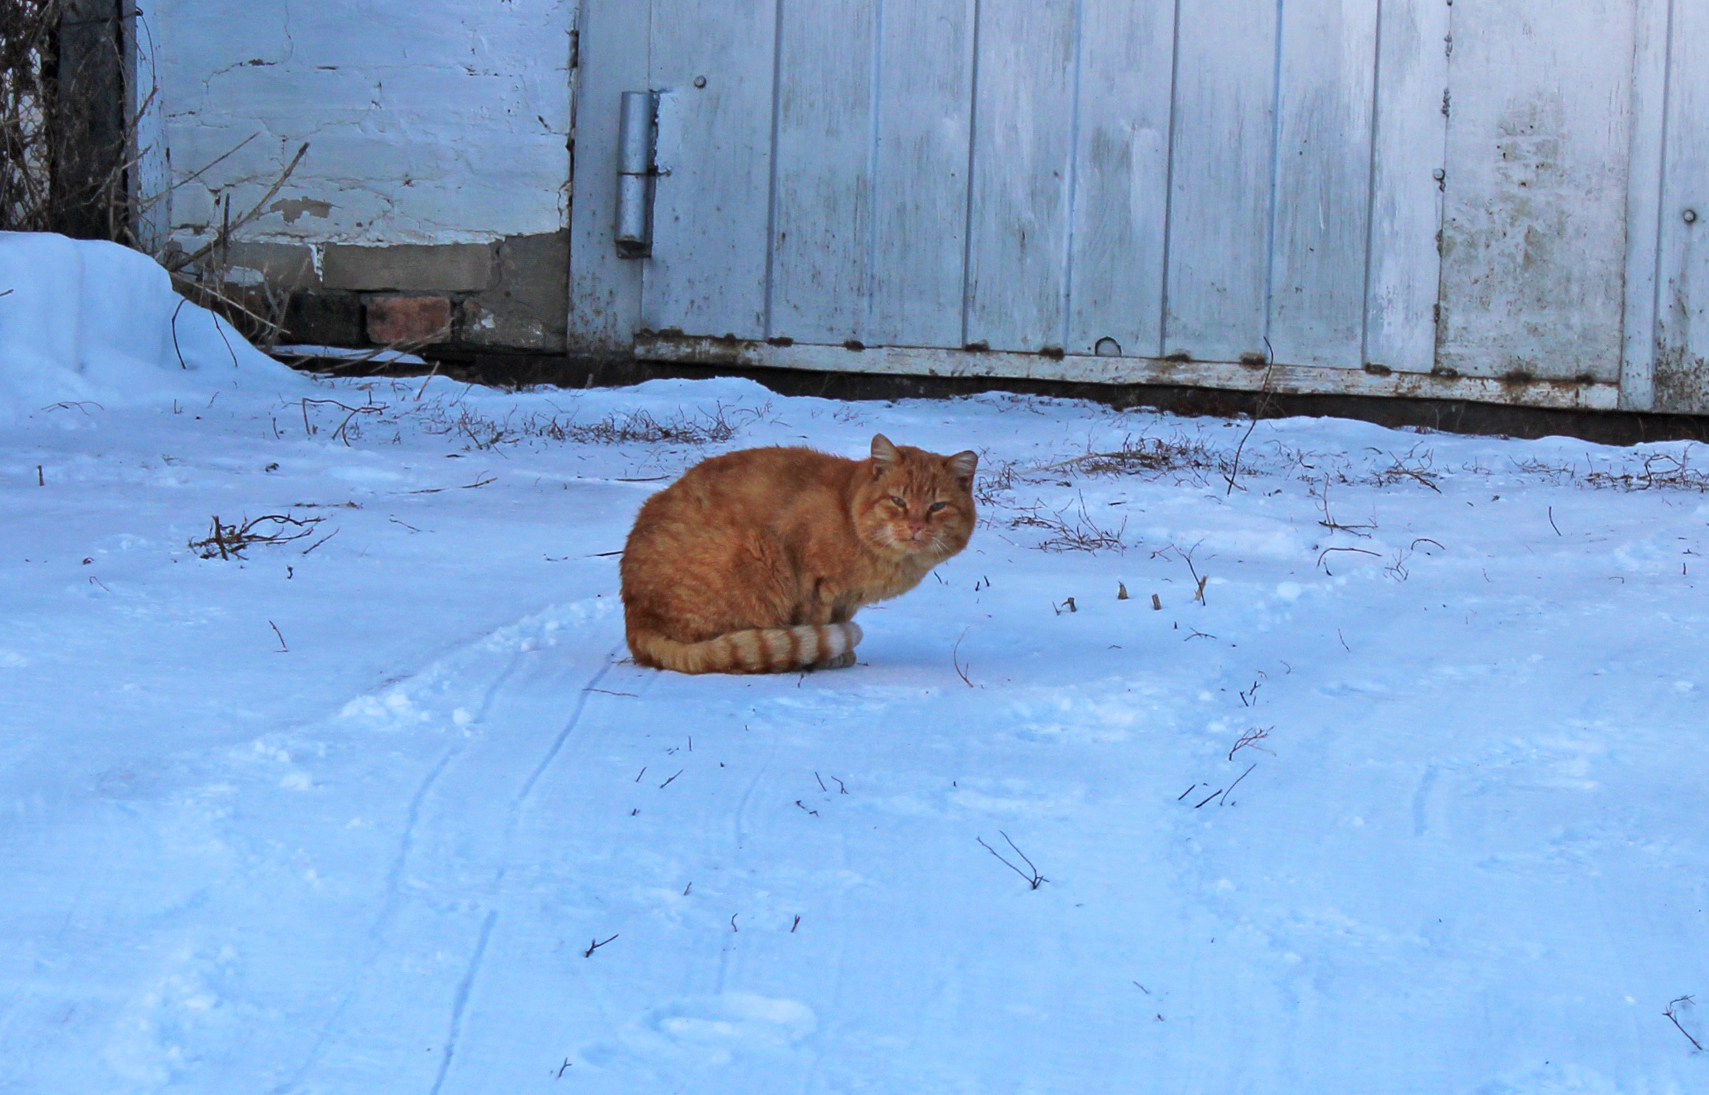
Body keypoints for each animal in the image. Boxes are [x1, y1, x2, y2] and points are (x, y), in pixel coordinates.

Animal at [625, 430, 977, 669]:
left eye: (937, 506)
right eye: (898, 501)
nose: (916, 526)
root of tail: (636, 620)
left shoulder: (846, 601)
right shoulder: (815, 586)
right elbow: (819, 624)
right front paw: (826, 659)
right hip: (754, 556)